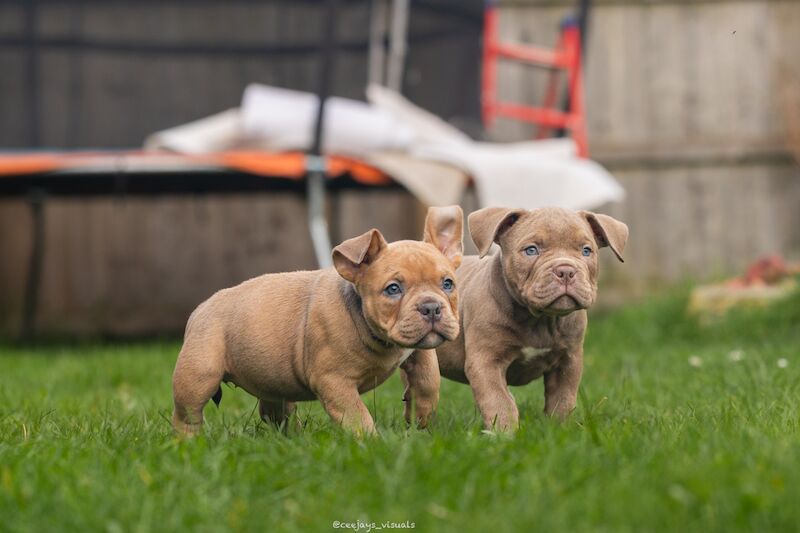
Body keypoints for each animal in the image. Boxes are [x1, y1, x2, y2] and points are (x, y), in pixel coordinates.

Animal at [172, 206, 466, 434]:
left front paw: (421, 415)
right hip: (199, 374)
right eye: (393, 289)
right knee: (188, 413)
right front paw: (371, 444)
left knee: (275, 411)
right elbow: (356, 415)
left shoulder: (416, 347)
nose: (431, 308)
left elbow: (428, 377)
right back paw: (190, 443)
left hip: (272, 382)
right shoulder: (334, 381)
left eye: (448, 283)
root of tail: (203, 307)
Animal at [434, 206, 628, 430]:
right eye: (531, 250)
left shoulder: (568, 362)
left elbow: (563, 400)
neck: (540, 319)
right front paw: (504, 433)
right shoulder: (486, 362)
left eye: (586, 251)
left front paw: (560, 430)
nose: (566, 271)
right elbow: (499, 401)